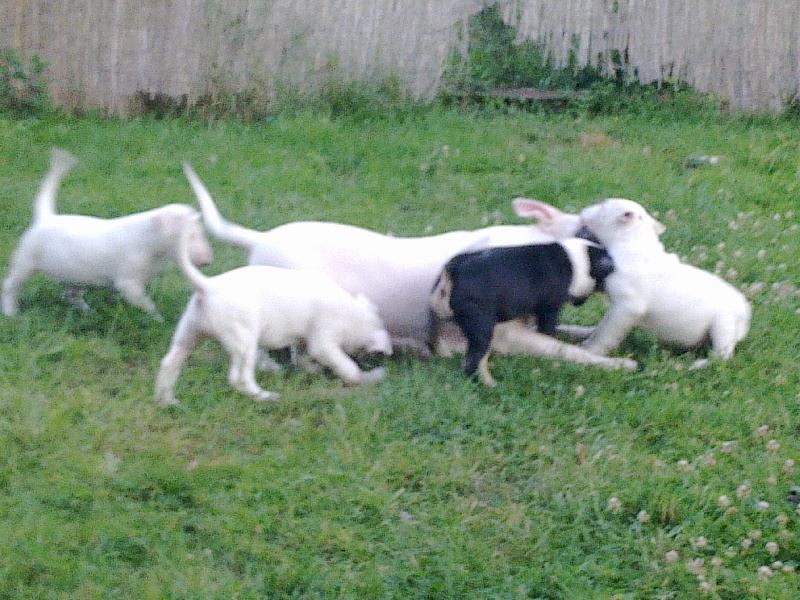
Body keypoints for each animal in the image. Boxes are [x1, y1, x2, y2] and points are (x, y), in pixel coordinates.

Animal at [2, 148, 212, 318]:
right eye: (189, 236)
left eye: (201, 233)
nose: (207, 261)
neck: (149, 238)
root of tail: (46, 217)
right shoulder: (128, 282)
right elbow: (144, 301)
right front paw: (156, 319)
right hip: (26, 260)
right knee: (11, 284)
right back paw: (10, 311)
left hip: (74, 274)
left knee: (71, 294)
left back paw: (87, 312)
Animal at [154, 218, 394, 406]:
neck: (352, 312)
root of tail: (207, 286)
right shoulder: (324, 341)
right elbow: (344, 364)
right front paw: (367, 377)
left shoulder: (303, 339)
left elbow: (301, 357)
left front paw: (312, 370)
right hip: (244, 343)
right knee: (239, 379)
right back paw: (265, 397)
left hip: (188, 335)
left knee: (169, 363)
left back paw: (166, 401)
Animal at [428, 237, 628, 386]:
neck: (579, 261)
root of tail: (451, 276)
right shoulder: (548, 309)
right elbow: (549, 331)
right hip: (482, 328)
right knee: (473, 360)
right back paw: (488, 383)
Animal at [576, 199, 752, 366]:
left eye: (603, 205)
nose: (583, 210)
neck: (633, 239)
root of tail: (746, 312)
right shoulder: (617, 307)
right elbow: (603, 325)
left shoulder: (627, 307)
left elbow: (606, 333)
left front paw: (591, 350)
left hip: (723, 325)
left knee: (722, 356)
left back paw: (700, 364)